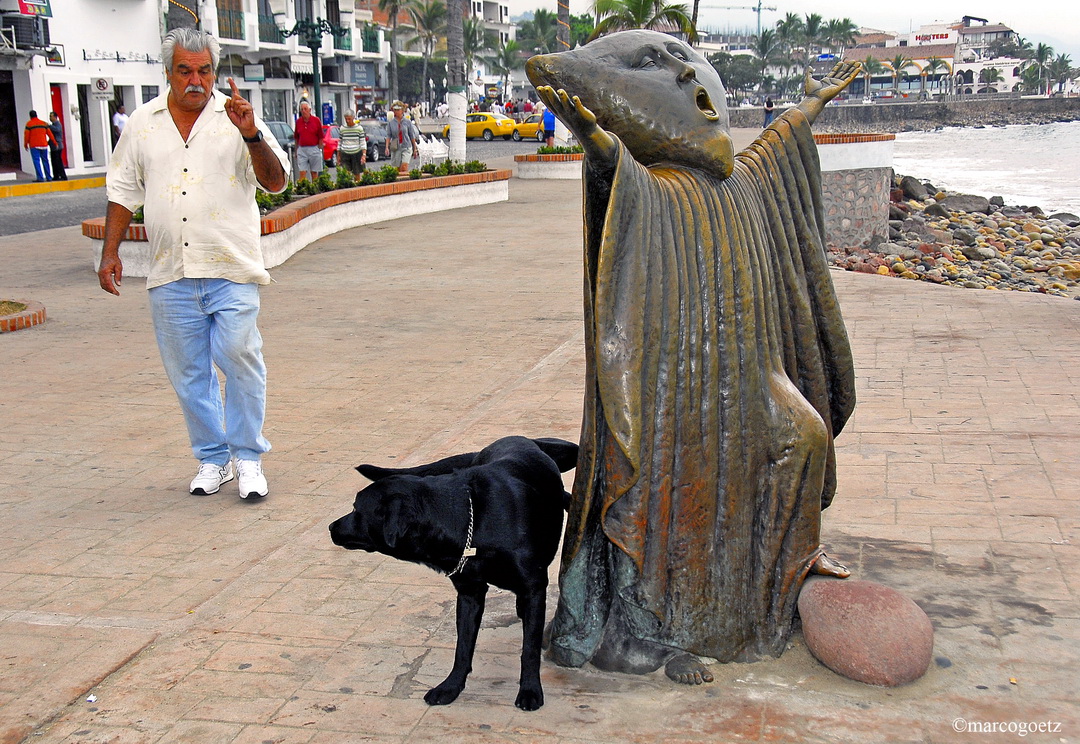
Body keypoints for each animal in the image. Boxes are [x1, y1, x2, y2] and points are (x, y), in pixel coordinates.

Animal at [328, 436, 578, 708]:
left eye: (356, 509)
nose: (331, 527)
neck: (472, 522)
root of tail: (518, 438)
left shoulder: (533, 587)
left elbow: (529, 649)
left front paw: (530, 690)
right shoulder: (469, 593)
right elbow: (463, 646)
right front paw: (450, 687)